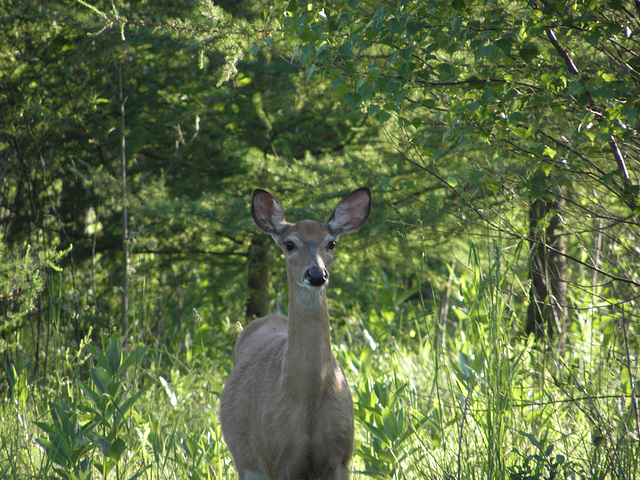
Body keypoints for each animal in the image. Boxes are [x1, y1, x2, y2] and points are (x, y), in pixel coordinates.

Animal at [219, 187, 370, 480]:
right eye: (289, 244)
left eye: (331, 243)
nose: (316, 274)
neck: (308, 398)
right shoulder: (276, 459)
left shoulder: (341, 457)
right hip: (245, 462)